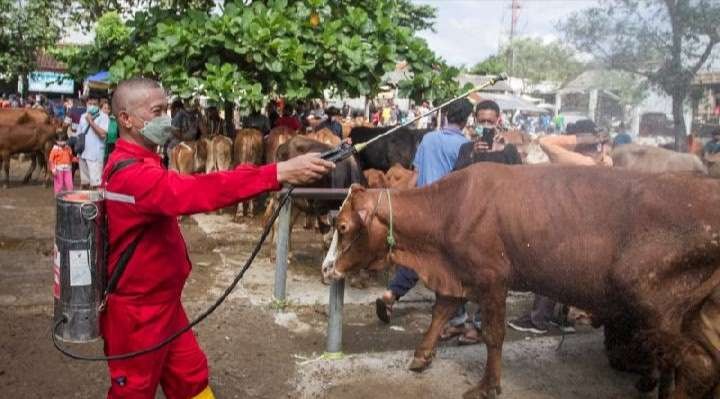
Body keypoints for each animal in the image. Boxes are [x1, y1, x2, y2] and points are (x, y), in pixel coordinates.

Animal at [324, 163, 720, 399]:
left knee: (697, 365)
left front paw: (487, 386)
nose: (327, 270)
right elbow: (441, 312)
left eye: (342, 227)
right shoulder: (460, 273)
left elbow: (493, 335)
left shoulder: (491, 279)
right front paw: (422, 356)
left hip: (651, 300)